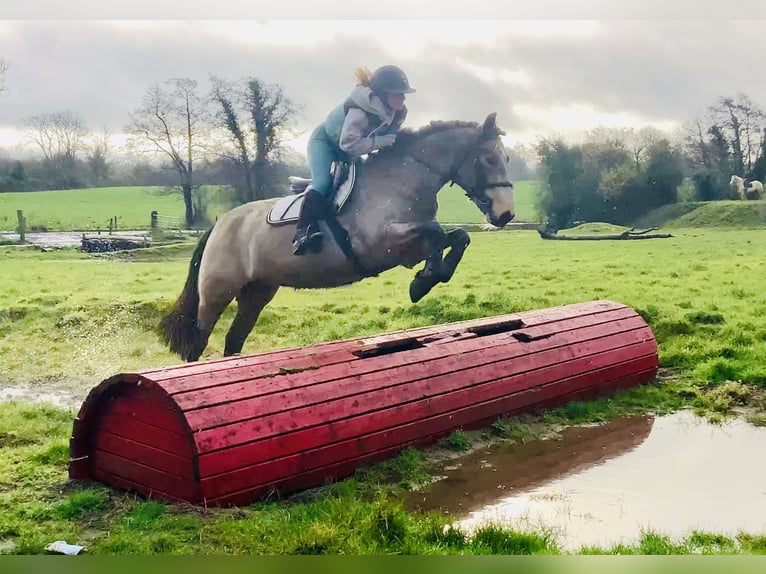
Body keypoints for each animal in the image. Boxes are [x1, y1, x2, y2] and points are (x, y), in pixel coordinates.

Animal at [160, 113, 516, 362]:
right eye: (488, 158)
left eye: (506, 159)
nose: (506, 214)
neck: (402, 179)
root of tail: (220, 224)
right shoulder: (383, 245)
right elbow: (438, 233)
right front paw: (425, 279)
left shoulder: (408, 246)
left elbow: (454, 236)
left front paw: (427, 277)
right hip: (217, 292)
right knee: (198, 338)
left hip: (257, 292)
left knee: (234, 339)